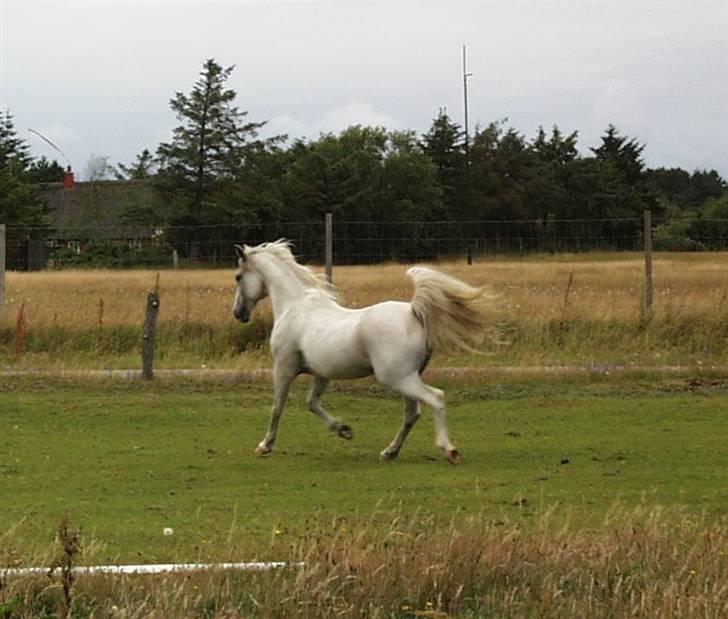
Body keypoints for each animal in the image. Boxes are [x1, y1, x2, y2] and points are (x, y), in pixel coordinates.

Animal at [233, 242, 494, 464]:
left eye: (238, 276)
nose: (238, 313)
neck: (296, 306)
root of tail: (414, 313)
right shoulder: (322, 373)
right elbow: (312, 403)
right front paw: (344, 430)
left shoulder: (284, 367)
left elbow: (277, 407)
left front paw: (264, 446)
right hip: (408, 378)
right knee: (412, 413)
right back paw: (389, 452)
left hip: (397, 377)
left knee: (435, 398)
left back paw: (449, 450)